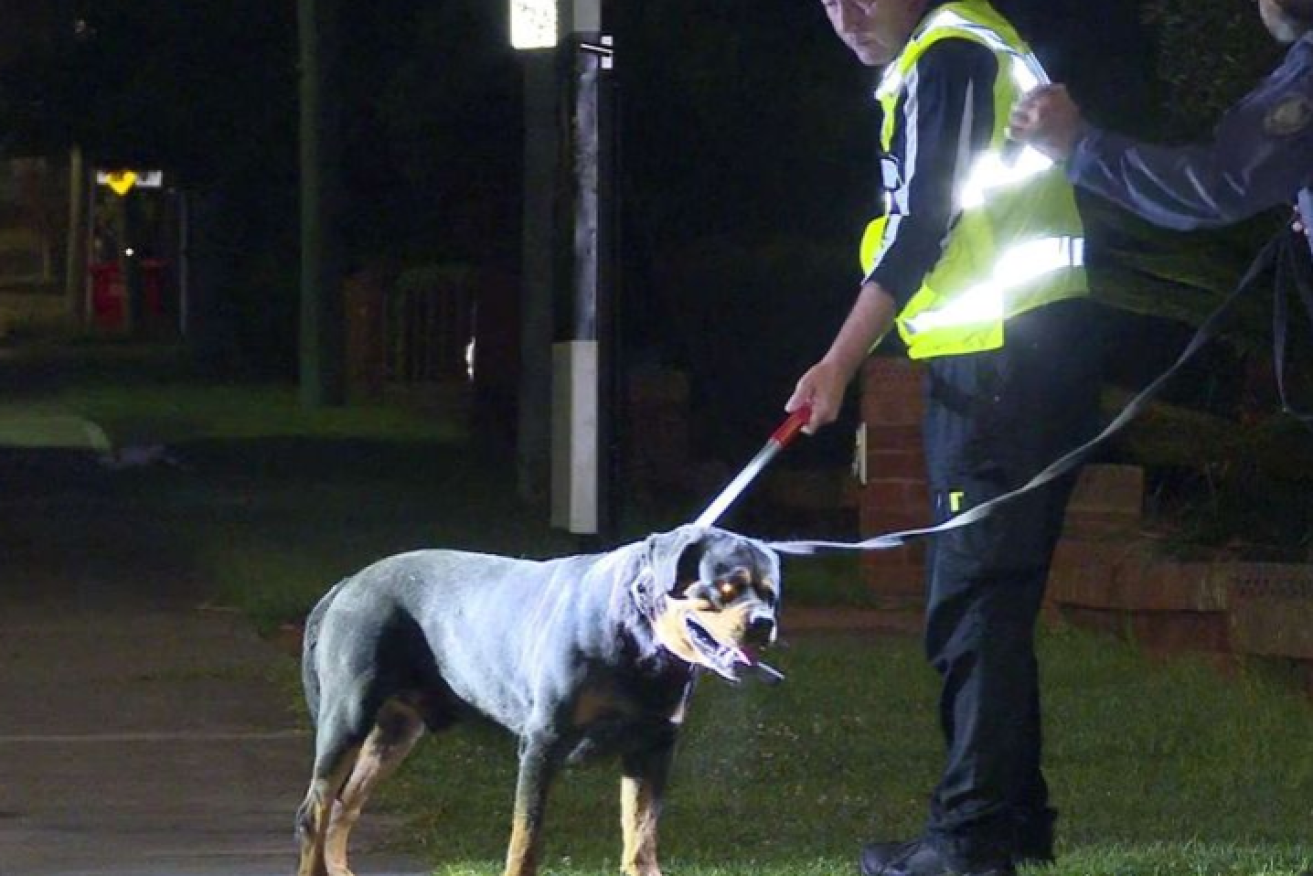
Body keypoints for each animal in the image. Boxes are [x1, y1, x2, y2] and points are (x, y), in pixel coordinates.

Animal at [298, 525, 782, 876]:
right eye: (725, 588)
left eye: (772, 594)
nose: (764, 623)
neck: (639, 643)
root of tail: (348, 583)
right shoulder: (542, 743)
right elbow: (525, 838)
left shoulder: (654, 747)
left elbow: (641, 838)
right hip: (348, 717)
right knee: (315, 812)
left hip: (395, 731)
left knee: (345, 806)